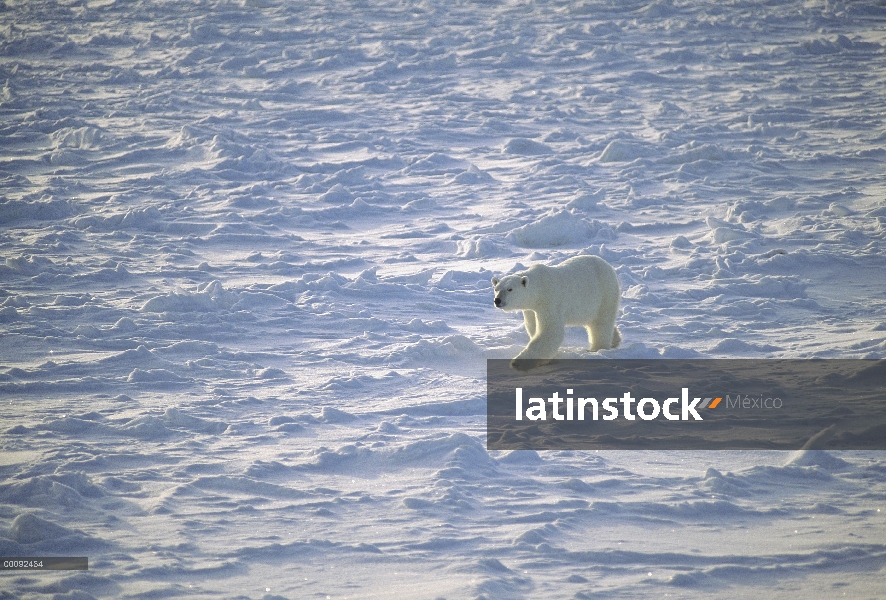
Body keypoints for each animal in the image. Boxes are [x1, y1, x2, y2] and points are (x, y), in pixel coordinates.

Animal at [492, 254, 624, 370]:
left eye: (509, 289)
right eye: (496, 289)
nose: (497, 300)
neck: (539, 288)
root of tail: (606, 265)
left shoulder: (549, 301)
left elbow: (549, 331)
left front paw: (517, 363)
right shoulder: (530, 309)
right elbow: (533, 326)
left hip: (605, 293)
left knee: (601, 323)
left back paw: (597, 348)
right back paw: (615, 339)